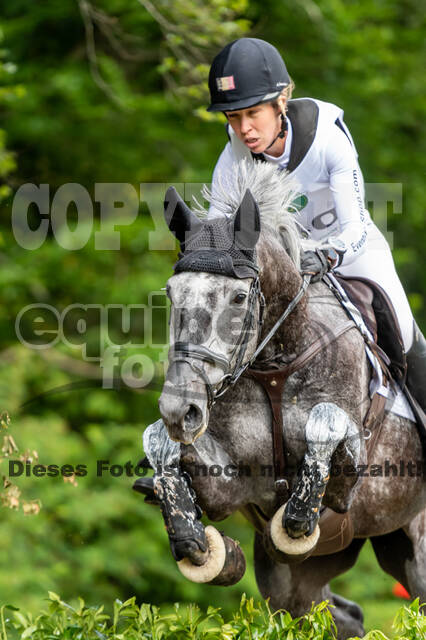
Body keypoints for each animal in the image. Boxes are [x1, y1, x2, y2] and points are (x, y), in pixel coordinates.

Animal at [143, 161, 426, 639]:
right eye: (170, 293)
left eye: (239, 297)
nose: (181, 411)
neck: (275, 366)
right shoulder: (232, 484)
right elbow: (162, 446)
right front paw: (200, 546)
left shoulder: (352, 469)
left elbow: (324, 426)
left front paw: (296, 521)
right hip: (304, 580)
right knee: (338, 614)